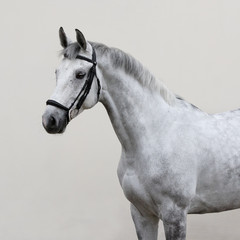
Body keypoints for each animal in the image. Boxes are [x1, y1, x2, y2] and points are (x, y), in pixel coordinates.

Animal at [42, 27, 240, 239]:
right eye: (57, 72)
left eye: (80, 74)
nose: (50, 120)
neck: (154, 135)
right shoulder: (141, 213)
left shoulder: (175, 214)